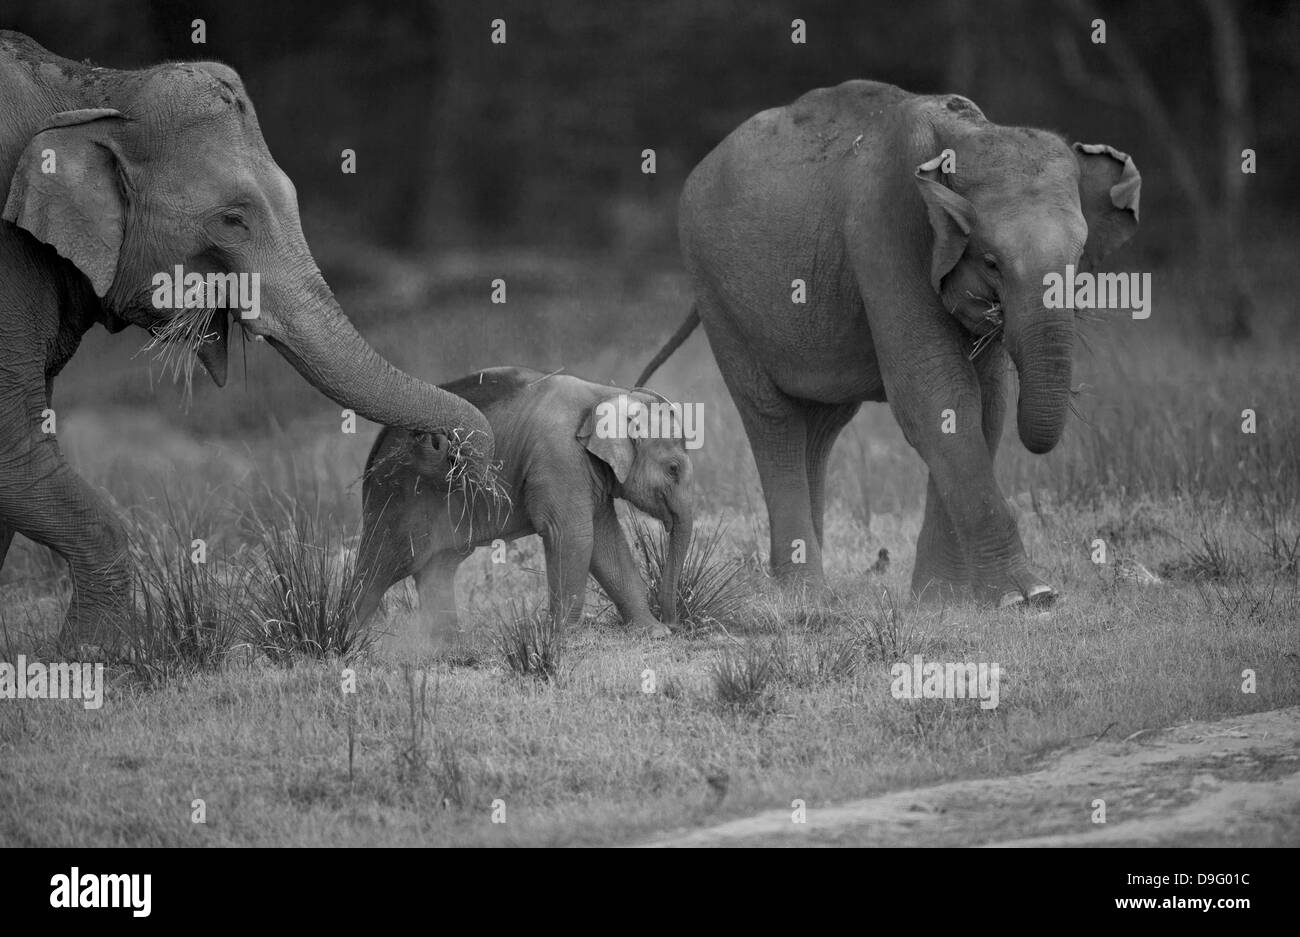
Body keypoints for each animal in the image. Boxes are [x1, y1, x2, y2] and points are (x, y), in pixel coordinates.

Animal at [355, 367, 694, 645]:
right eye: (673, 468)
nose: (675, 624)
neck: (605, 394)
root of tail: (375, 449)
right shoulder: (559, 457)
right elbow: (574, 535)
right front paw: (564, 637)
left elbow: (605, 541)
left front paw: (654, 633)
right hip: (400, 498)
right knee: (381, 566)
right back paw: (350, 643)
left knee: (437, 567)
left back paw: (448, 645)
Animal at [637, 80, 1140, 607]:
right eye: (991, 261)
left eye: (1080, 257)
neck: (966, 134)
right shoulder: (885, 234)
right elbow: (936, 395)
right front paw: (1027, 596)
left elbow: (988, 405)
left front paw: (941, 600)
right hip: (714, 289)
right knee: (772, 418)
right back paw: (807, 596)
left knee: (819, 426)